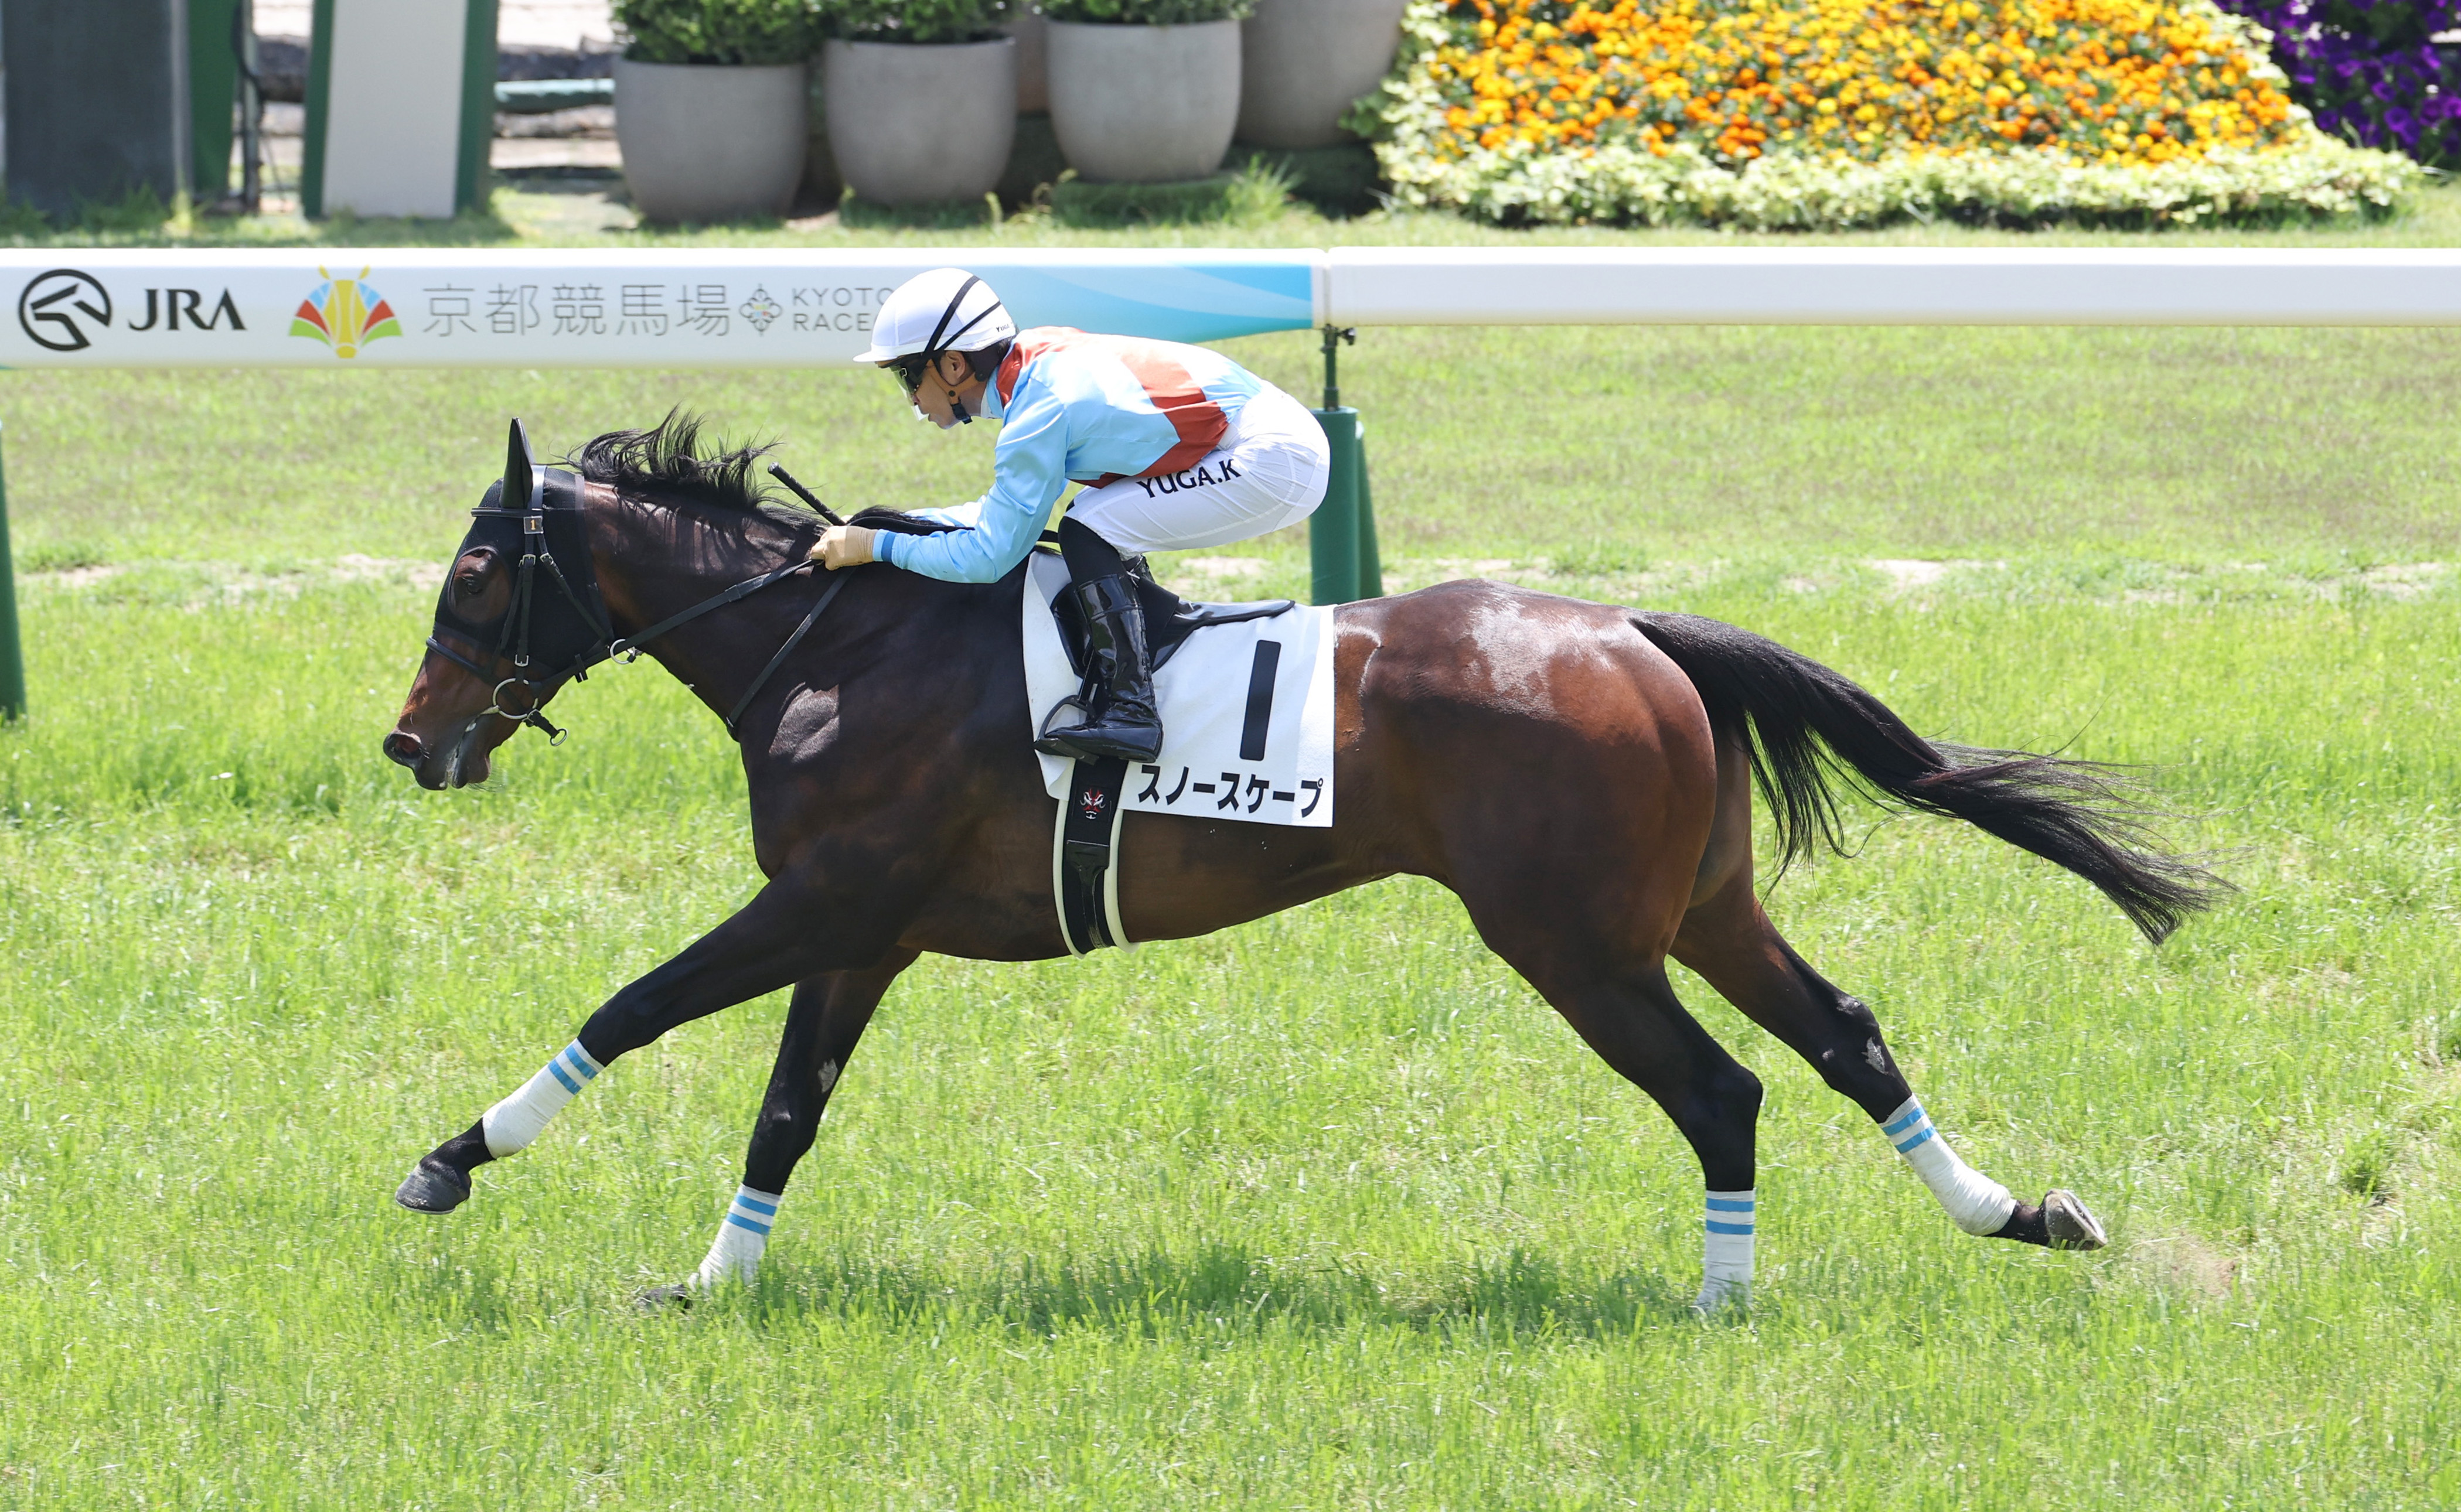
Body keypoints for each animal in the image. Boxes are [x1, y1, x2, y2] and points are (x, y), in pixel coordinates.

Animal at [383, 415, 2223, 1312]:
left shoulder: (826, 898)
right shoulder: (860, 931)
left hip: (1574, 940)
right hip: (1699, 909)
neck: (844, 642)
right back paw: (2019, 1212)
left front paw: (451, 1157)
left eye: (473, 576)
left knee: (1723, 1091)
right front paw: (713, 1280)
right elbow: (785, 1110)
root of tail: (1638, 628)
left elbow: (628, 1006)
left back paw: (1720, 1301)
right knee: (1846, 1035)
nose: (411, 742)